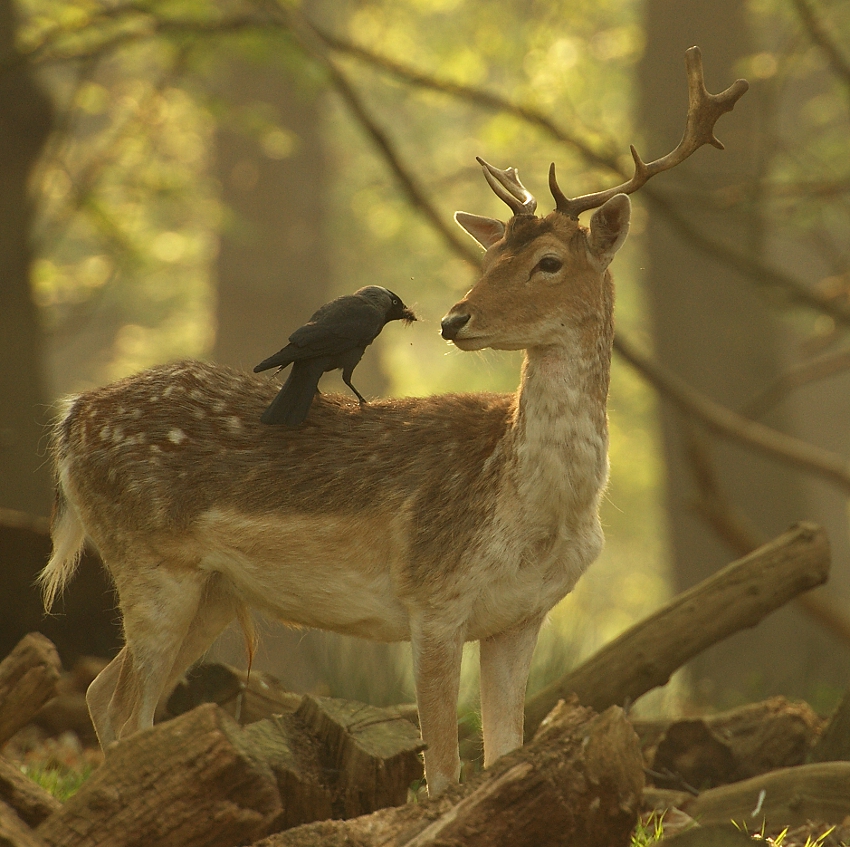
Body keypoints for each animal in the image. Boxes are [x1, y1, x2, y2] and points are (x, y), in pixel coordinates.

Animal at [41, 49, 744, 800]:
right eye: (489, 256)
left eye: (549, 261)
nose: (455, 319)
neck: (534, 510)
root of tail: (70, 420)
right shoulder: (432, 593)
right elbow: (443, 770)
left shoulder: (521, 615)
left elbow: (503, 751)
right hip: (149, 562)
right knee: (124, 706)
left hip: (212, 590)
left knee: (103, 696)